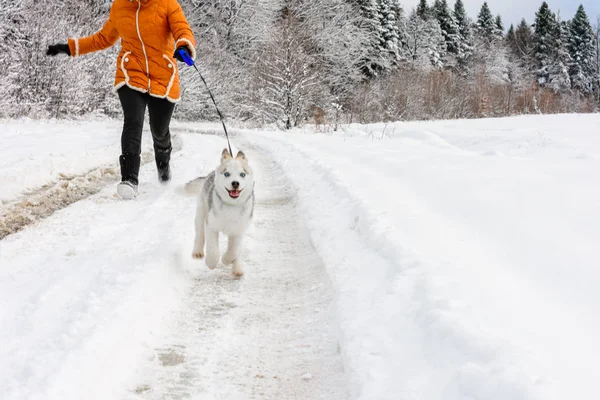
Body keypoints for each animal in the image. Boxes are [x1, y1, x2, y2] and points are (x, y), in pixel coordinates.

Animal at [185, 148, 255, 276]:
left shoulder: (239, 229)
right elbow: (213, 250)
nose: (235, 183)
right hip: (202, 211)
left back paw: (238, 268)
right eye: (227, 174)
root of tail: (210, 173)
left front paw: (227, 260)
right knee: (199, 232)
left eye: (242, 174)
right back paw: (197, 251)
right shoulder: (211, 225)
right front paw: (211, 263)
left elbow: (234, 250)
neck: (231, 206)